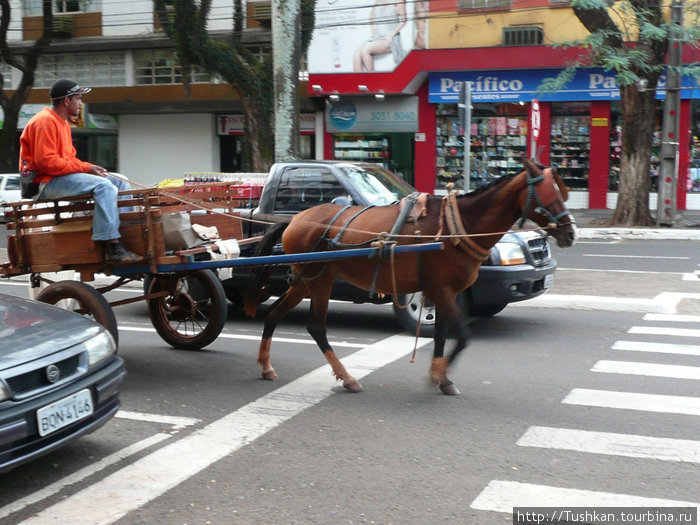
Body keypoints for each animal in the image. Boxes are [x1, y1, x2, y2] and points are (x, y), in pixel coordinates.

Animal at [243, 158, 576, 396]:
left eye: (564, 192)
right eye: (549, 193)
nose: (571, 233)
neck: (457, 227)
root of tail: (294, 220)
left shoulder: (443, 291)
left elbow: (441, 334)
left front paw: (441, 377)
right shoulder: (443, 289)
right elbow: (463, 336)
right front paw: (439, 375)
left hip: (304, 280)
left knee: (274, 314)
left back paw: (265, 365)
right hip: (319, 281)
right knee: (316, 327)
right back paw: (347, 377)